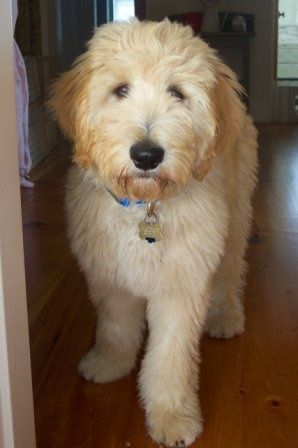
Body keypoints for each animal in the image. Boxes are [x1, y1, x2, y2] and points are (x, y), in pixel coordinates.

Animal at [49, 18, 258, 448]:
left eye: (177, 92)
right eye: (120, 90)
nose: (146, 155)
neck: (146, 205)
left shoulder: (181, 284)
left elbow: (170, 357)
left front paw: (172, 417)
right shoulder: (111, 276)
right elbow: (115, 325)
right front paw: (110, 362)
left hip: (236, 211)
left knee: (231, 270)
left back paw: (226, 316)